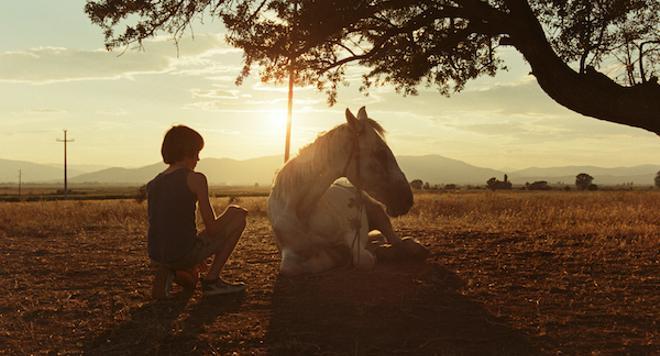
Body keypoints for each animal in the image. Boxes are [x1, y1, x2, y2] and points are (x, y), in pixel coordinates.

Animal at [266, 105, 428, 276]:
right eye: (381, 153)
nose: (407, 199)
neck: (303, 211)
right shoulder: (290, 253)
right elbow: (291, 267)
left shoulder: (351, 235)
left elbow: (363, 259)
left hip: (379, 213)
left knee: (398, 242)